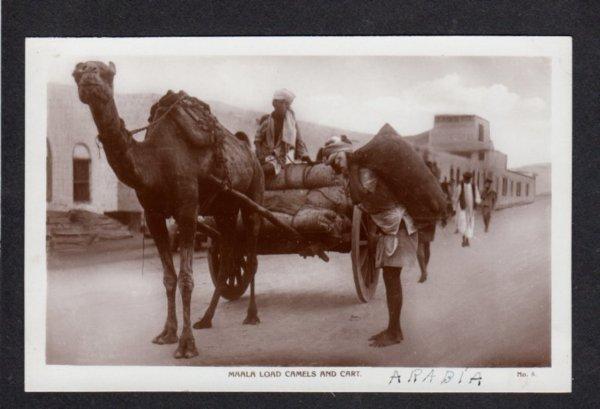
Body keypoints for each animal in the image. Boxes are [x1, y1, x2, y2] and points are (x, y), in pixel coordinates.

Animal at [72, 60, 264, 356]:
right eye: (76, 73)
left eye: (107, 73)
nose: (89, 77)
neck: (155, 162)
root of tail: (250, 152)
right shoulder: (153, 216)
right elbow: (169, 277)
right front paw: (167, 334)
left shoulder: (187, 210)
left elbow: (186, 278)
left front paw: (186, 345)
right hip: (225, 208)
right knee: (228, 255)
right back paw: (206, 319)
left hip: (254, 192)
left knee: (252, 255)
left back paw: (252, 315)